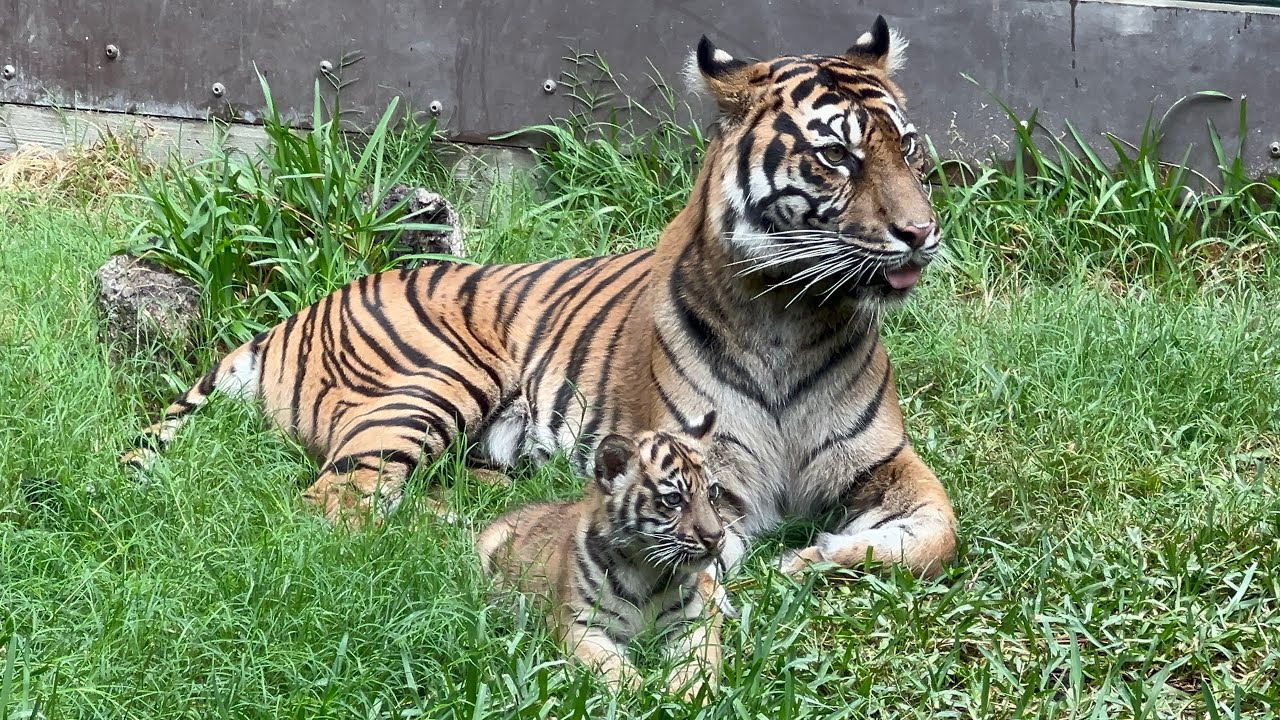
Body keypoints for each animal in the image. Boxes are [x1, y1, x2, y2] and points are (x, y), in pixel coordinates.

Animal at [122, 14, 957, 581]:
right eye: (837, 156)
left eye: (908, 146)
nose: (922, 232)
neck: (790, 316)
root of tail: (294, 316)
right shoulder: (708, 484)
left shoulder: (887, 463)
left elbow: (940, 534)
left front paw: (816, 556)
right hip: (432, 381)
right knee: (339, 506)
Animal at [475, 412, 731, 699]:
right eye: (674, 499)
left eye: (713, 493)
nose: (715, 537)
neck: (646, 570)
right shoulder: (584, 625)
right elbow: (612, 668)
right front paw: (639, 695)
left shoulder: (692, 624)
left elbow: (697, 667)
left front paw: (687, 696)